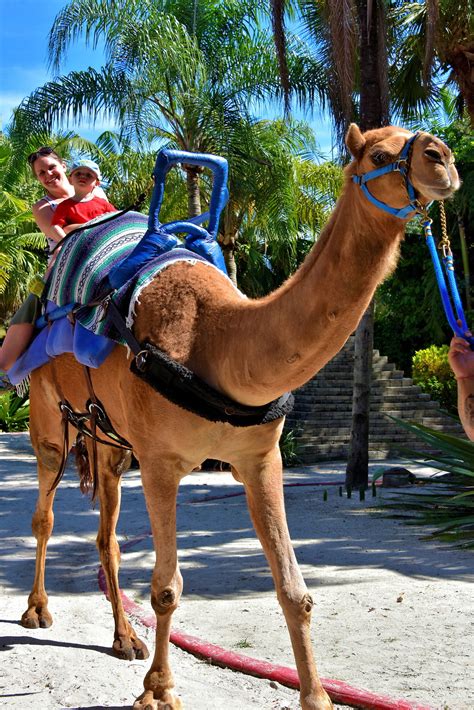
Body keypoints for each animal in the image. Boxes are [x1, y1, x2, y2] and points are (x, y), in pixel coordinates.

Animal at [21, 126, 460, 710]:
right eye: (380, 154)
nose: (443, 158)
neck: (217, 339)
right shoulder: (161, 461)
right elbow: (166, 587)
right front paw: (159, 692)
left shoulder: (260, 456)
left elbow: (294, 590)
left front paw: (318, 697)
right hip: (49, 413)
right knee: (45, 512)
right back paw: (37, 610)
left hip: (110, 441)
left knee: (106, 536)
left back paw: (125, 639)